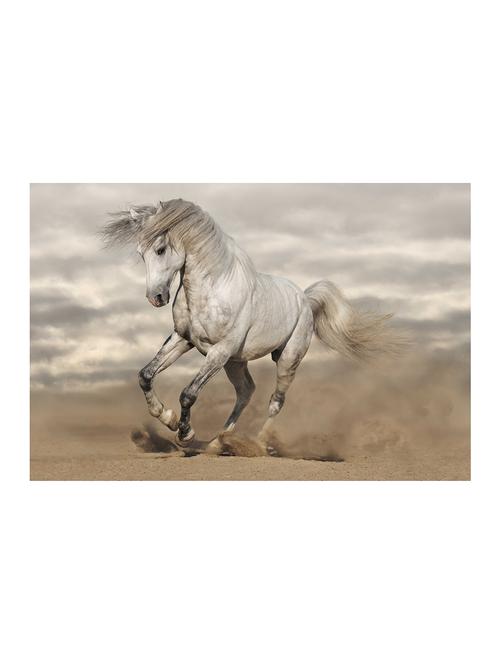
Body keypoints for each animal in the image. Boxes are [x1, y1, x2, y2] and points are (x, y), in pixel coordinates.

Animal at [102, 198, 403, 456]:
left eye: (161, 249)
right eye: (140, 253)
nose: (156, 297)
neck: (211, 289)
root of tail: (305, 299)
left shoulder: (219, 351)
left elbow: (188, 393)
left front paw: (185, 433)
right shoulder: (183, 340)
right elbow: (146, 375)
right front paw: (167, 417)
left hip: (286, 359)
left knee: (275, 401)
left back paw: (259, 443)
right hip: (236, 363)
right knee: (246, 392)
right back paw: (219, 442)